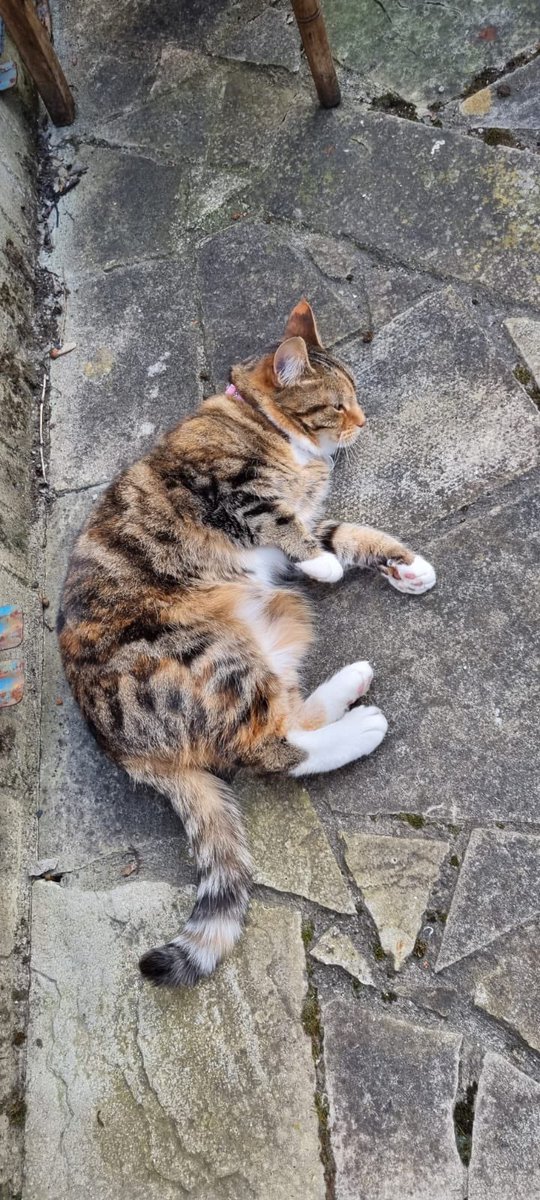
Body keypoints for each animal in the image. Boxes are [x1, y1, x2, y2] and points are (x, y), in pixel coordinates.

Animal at [59, 297, 436, 984]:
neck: (261, 423)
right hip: (207, 656)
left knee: (288, 714)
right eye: (337, 404)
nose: (363, 421)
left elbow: (343, 532)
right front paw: (327, 567)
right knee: (269, 749)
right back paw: (362, 725)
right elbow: (286, 527)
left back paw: (352, 685)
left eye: (355, 398)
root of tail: (120, 748)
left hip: (270, 634)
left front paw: (406, 566)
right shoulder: (228, 489)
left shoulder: (311, 517)